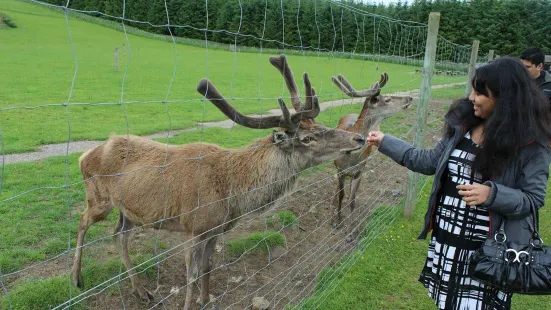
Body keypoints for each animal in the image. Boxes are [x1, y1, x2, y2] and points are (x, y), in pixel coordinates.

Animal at [71, 54, 368, 308]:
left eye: (319, 126)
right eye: (307, 138)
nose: (359, 138)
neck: (231, 193)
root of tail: (85, 155)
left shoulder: (215, 230)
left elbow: (207, 267)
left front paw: (206, 300)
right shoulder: (192, 227)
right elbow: (190, 276)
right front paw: (190, 304)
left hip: (130, 211)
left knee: (119, 235)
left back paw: (141, 291)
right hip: (98, 198)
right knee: (84, 220)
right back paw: (76, 277)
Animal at [328, 73, 414, 240]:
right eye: (387, 99)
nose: (410, 98)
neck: (351, 158)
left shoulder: (359, 172)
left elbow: (353, 201)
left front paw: (350, 232)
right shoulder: (340, 169)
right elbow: (341, 195)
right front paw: (337, 221)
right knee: (338, 189)